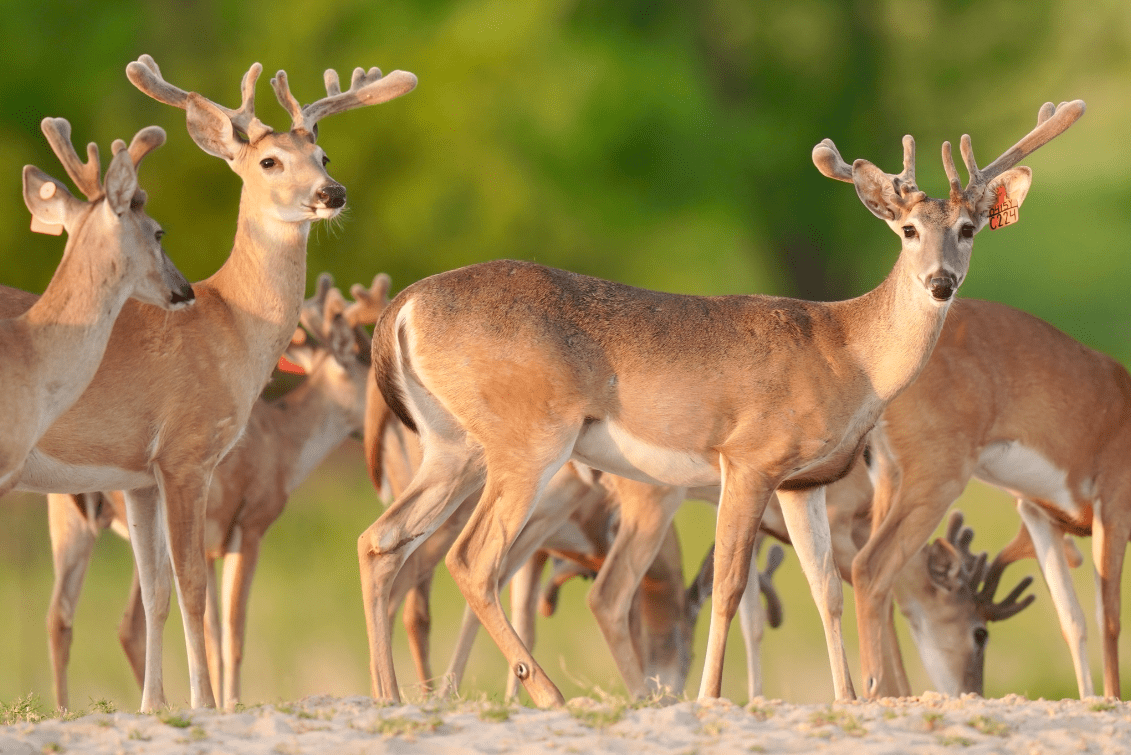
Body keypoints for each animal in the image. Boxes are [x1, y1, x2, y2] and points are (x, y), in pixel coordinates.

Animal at [42, 273, 388, 710]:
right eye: (367, 364)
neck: (284, 444)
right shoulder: (250, 526)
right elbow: (231, 634)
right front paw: (229, 702)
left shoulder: (212, 542)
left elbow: (215, 632)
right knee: (123, 621)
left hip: (68, 516)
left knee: (64, 615)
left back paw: (71, 708)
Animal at [360, 99, 1083, 706]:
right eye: (907, 230)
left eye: (968, 228)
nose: (940, 282)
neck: (848, 353)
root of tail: (403, 308)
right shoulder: (749, 457)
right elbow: (732, 587)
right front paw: (711, 696)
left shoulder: (802, 482)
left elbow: (826, 588)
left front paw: (850, 698)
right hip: (528, 438)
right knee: (471, 558)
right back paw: (549, 695)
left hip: (451, 445)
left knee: (381, 540)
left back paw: (391, 696)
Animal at [854, 294, 1129, 699]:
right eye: (980, 633)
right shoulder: (1112, 503)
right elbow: (1108, 617)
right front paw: (1111, 699)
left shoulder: (1038, 514)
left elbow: (1072, 619)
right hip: (938, 480)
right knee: (869, 566)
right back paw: (873, 687)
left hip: (888, 477)